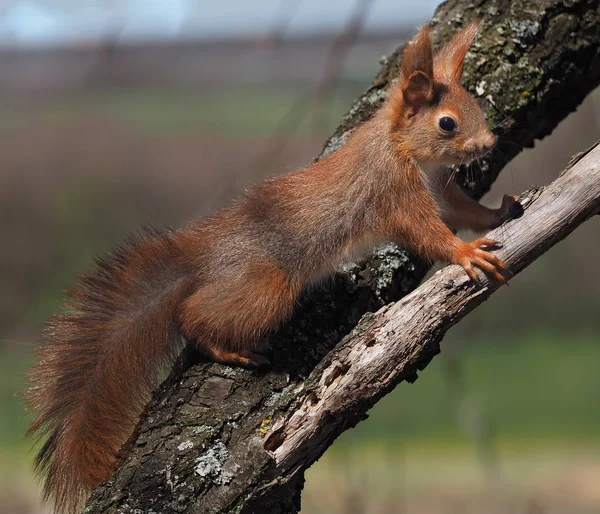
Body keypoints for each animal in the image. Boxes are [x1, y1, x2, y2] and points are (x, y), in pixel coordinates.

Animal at [28, 23, 512, 512]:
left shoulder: (440, 190)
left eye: (474, 104)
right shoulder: (394, 192)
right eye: (447, 123)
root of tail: (205, 258)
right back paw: (227, 348)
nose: (490, 144)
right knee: (191, 317)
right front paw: (465, 252)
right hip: (267, 288)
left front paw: (498, 212)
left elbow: (462, 211)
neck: (402, 148)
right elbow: (428, 233)